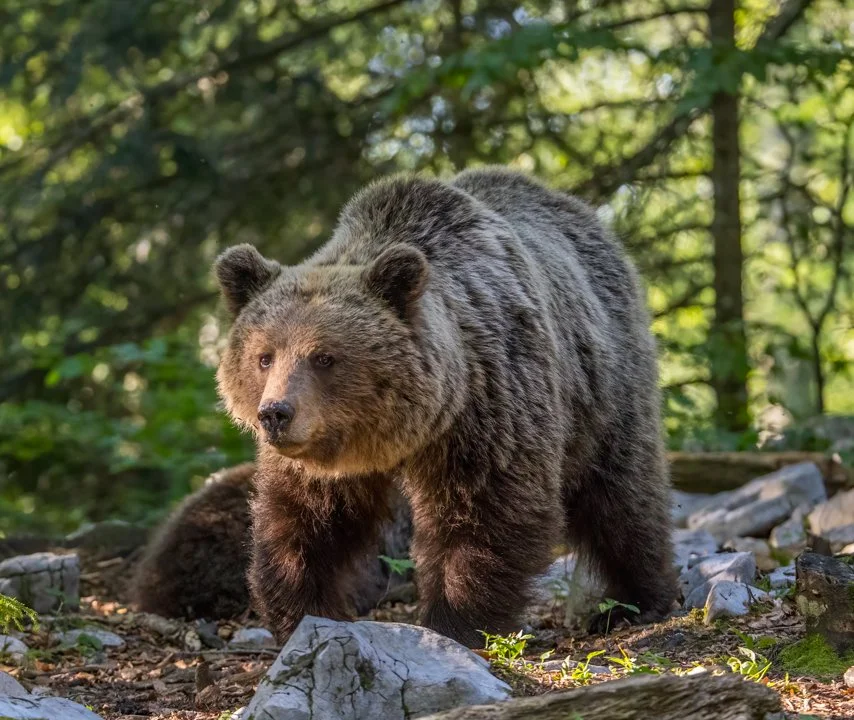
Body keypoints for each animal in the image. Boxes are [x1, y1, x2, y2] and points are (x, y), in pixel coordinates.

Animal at [214, 166, 677, 647]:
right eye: (264, 356)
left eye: (324, 357)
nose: (275, 413)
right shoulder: (321, 458)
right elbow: (303, 522)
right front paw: (302, 612)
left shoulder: (489, 408)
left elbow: (485, 513)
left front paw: (455, 622)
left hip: (605, 384)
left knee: (622, 495)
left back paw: (634, 601)